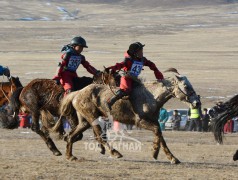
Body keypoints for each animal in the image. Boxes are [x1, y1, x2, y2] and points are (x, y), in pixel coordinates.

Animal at [59, 68, 201, 163]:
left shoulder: (154, 121)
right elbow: (157, 131)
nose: (197, 102)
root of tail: (77, 93)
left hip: (84, 121)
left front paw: (172, 157)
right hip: (92, 118)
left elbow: (160, 136)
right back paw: (115, 153)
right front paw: (154, 152)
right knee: (100, 135)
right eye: (186, 86)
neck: (151, 96)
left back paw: (70, 156)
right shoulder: (141, 122)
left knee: (71, 135)